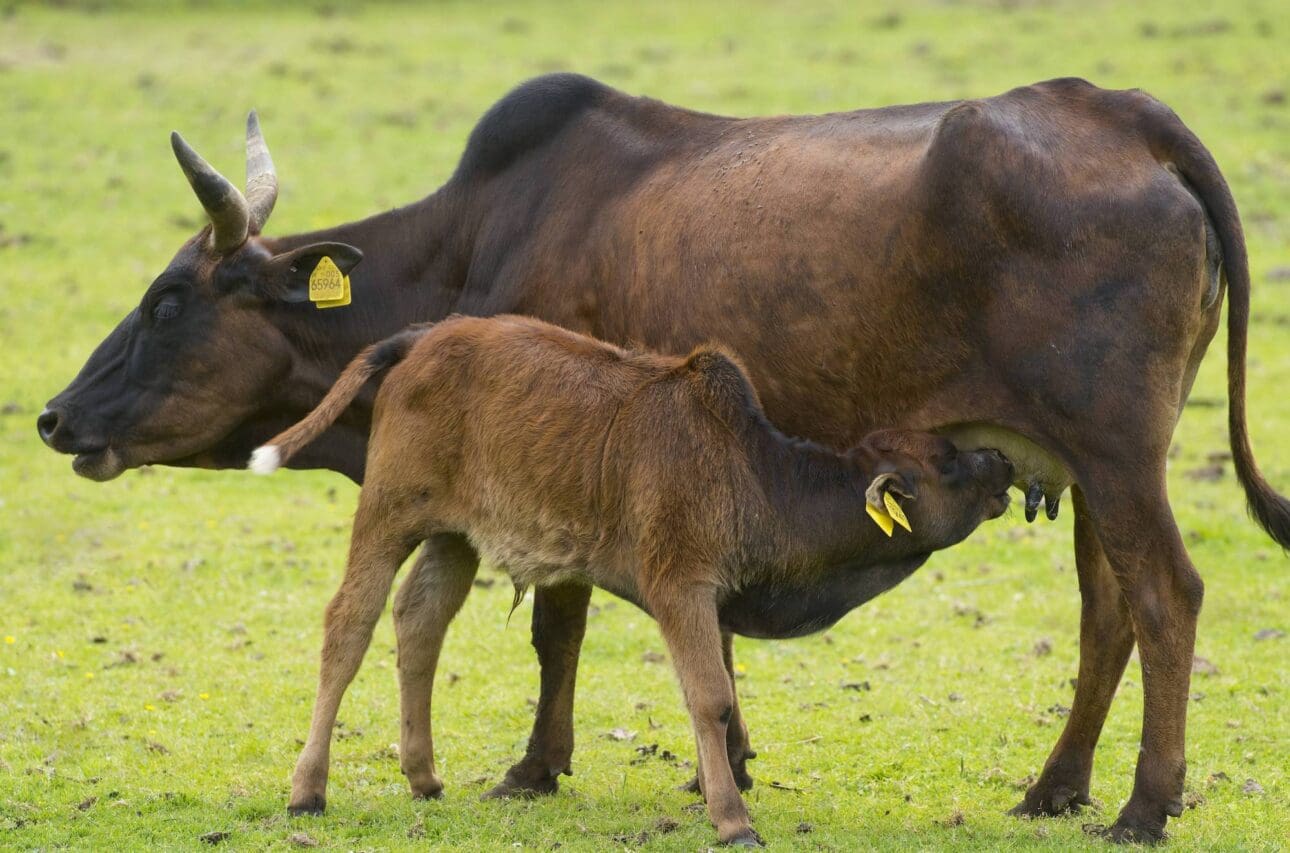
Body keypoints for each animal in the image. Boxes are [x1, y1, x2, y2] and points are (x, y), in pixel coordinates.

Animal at [248, 314, 1016, 846]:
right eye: (948, 461)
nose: (1004, 464)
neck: (757, 476)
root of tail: (427, 336)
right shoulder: (681, 585)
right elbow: (711, 699)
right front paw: (733, 820)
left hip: (455, 536)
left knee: (419, 622)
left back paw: (424, 774)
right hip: (389, 511)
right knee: (348, 624)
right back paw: (307, 789)